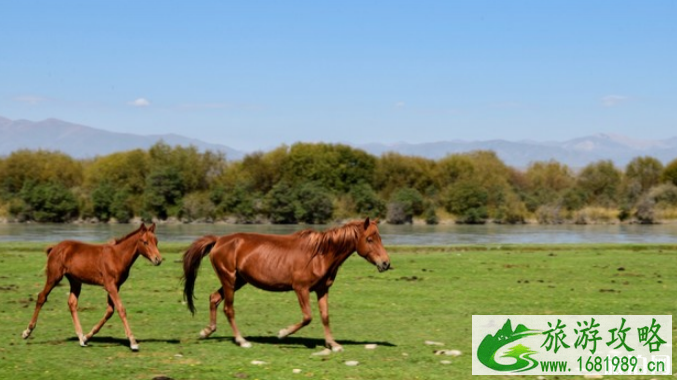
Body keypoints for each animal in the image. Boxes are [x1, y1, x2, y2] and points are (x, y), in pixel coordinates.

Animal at [21, 223, 162, 350]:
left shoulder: (116, 286)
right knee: (42, 296)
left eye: (156, 241)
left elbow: (110, 311)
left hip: (75, 281)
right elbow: (121, 309)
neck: (117, 256)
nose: (158, 259)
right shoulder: (110, 285)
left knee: (72, 303)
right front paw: (133, 342)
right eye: (145, 242)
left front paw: (87, 337)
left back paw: (80, 337)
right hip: (54, 276)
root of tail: (54, 248)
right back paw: (27, 331)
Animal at [182, 218, 388, 352]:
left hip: (238, 281)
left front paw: (333, 344)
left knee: (214, 298)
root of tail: (219, 241)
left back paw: (206, 331)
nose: (386, 263)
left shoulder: (322, 289)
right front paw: (282, 333)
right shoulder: (301, 289)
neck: (320, 254)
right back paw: (242, 340)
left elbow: (325, 316)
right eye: (369, 239)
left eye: (380, 238)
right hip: (229, 280)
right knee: (228, 309)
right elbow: (308, 317)